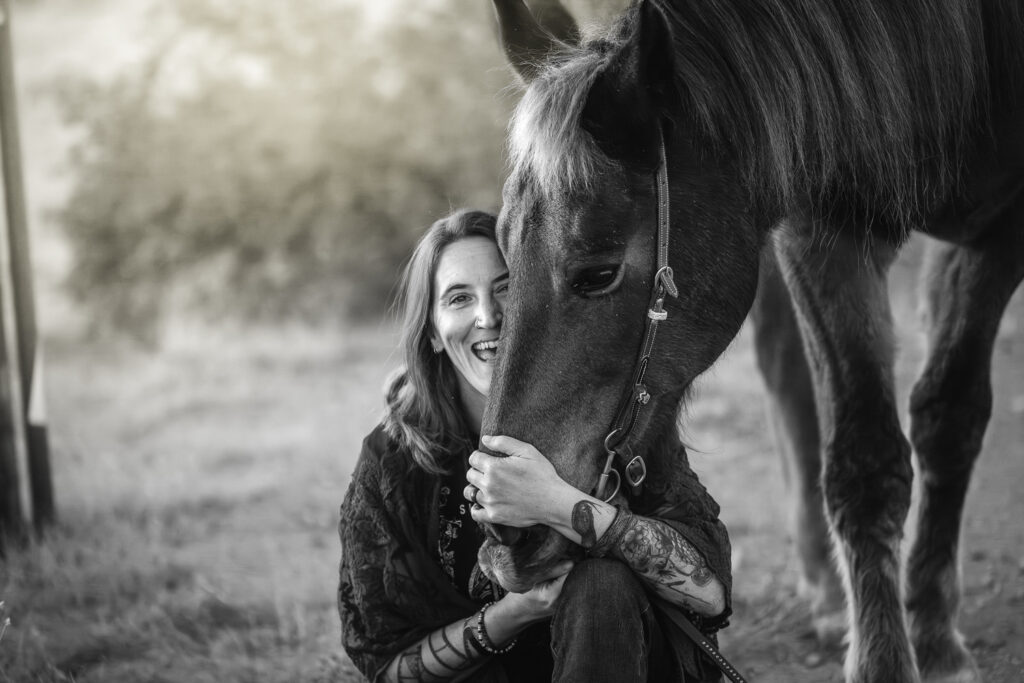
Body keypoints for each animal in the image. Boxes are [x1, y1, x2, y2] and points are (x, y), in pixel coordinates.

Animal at [476, 1, 1024, 682]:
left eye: (598, 273)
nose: (506, 534)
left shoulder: (999, 231)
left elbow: (947, 421)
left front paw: (935, 637)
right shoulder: (823, 223)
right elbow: (864, 462)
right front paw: (885, 652)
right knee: (790, 378)